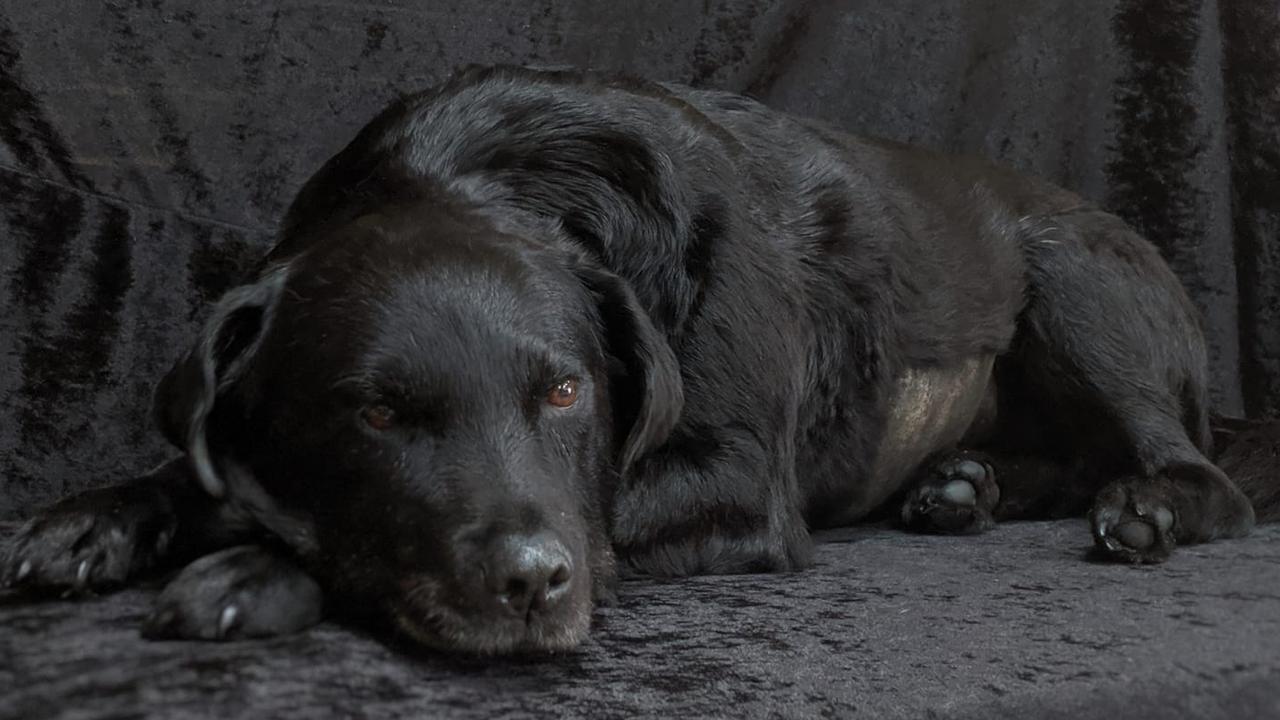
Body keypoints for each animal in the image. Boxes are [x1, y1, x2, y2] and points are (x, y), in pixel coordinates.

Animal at [2, 65, 1269, 650]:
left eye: (567, 392)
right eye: (373, 416)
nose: (529, 584)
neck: (481, 178)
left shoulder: (734, 484)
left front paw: (252, 564)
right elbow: (197, 464)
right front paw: (105, 514)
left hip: (1074, 280)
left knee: (1192, 470)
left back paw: (1145, 503)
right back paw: (962, 485)